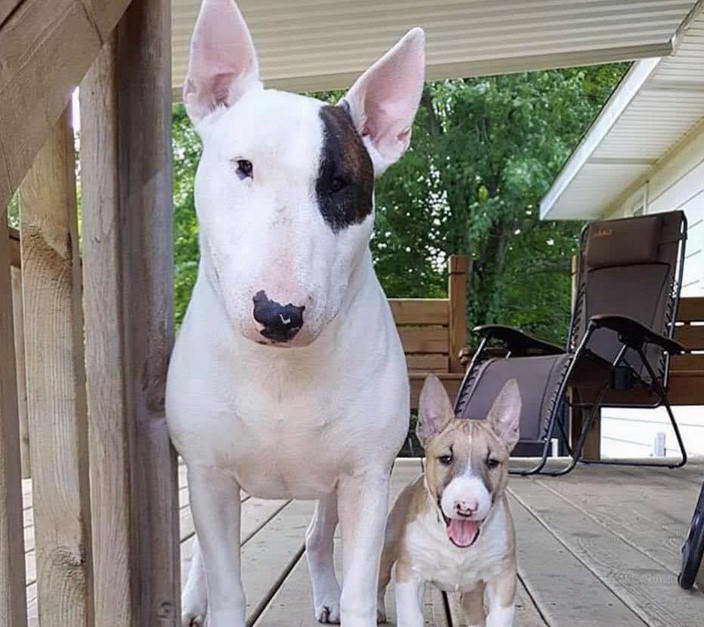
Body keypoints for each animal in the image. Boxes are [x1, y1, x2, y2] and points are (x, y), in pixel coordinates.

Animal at [168, 1, 426, 627]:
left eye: (338, 183)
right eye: (242, 166)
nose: (279, 313)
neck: (282, 375)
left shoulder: (365, 477)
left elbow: (360, 585)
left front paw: (348, 601)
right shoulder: (208, 472)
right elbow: (225, 585)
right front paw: (209, 600)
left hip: (331, 489)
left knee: (316, 537)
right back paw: (190, 598)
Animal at [376, 376, 520, 624]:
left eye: (492, 462)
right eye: (446, 458)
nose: (466, 507)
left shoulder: (503, 578)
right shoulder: (410, 574)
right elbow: (411, 617)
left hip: (473, 591)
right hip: (388, 546)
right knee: (380, 578)